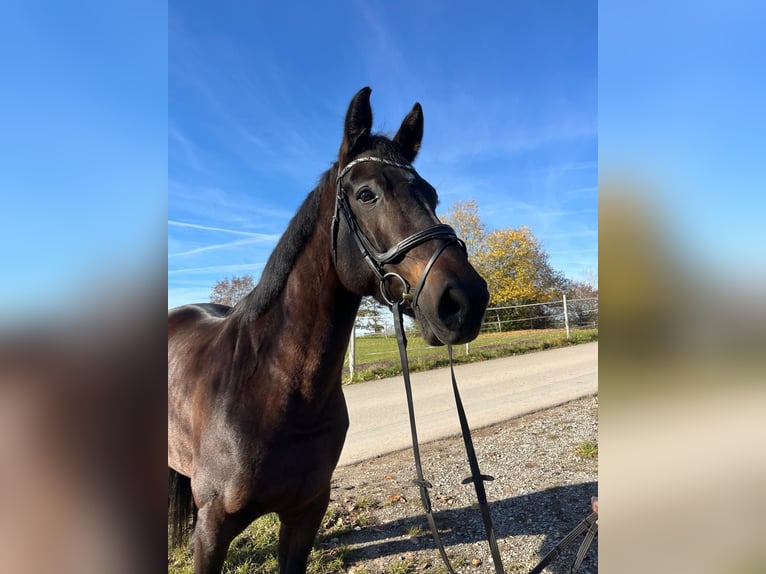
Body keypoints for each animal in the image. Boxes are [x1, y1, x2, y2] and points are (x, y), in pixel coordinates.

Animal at [168, 87, 489, 574]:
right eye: (366, 194)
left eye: (431, 195)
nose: (465, 300)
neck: (274, 390)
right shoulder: (212, 530)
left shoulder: (306, 514)